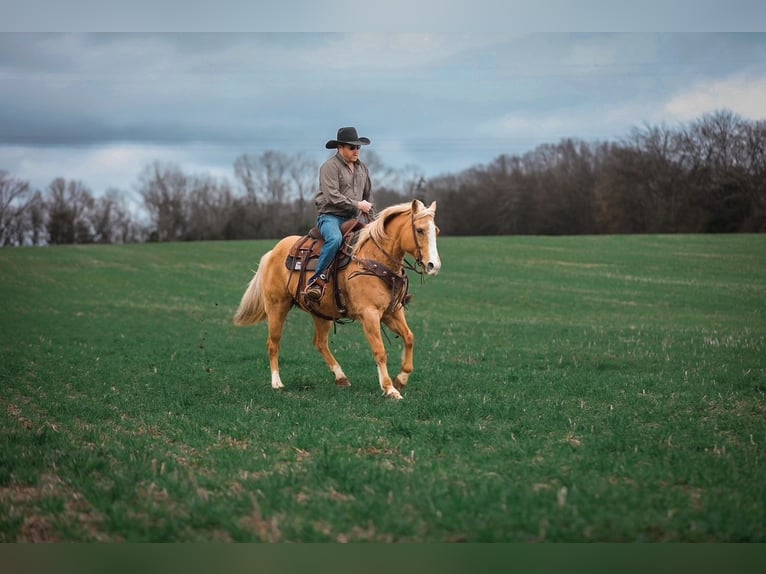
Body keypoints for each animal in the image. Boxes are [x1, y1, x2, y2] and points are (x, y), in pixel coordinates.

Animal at [233, 199, 441, 400]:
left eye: (436, 231)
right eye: (419, 230)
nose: (434, 265)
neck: (373, 259)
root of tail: (272, 253)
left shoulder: (392, 312)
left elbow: (409, 338)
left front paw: (401, 379)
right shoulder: (369, 314)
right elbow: (380, 351)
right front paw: (390, 389)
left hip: (320, 313)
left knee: (319, 343)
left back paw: (341, 377)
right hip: (277, 307)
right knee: (273, 343)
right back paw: (277, 382)